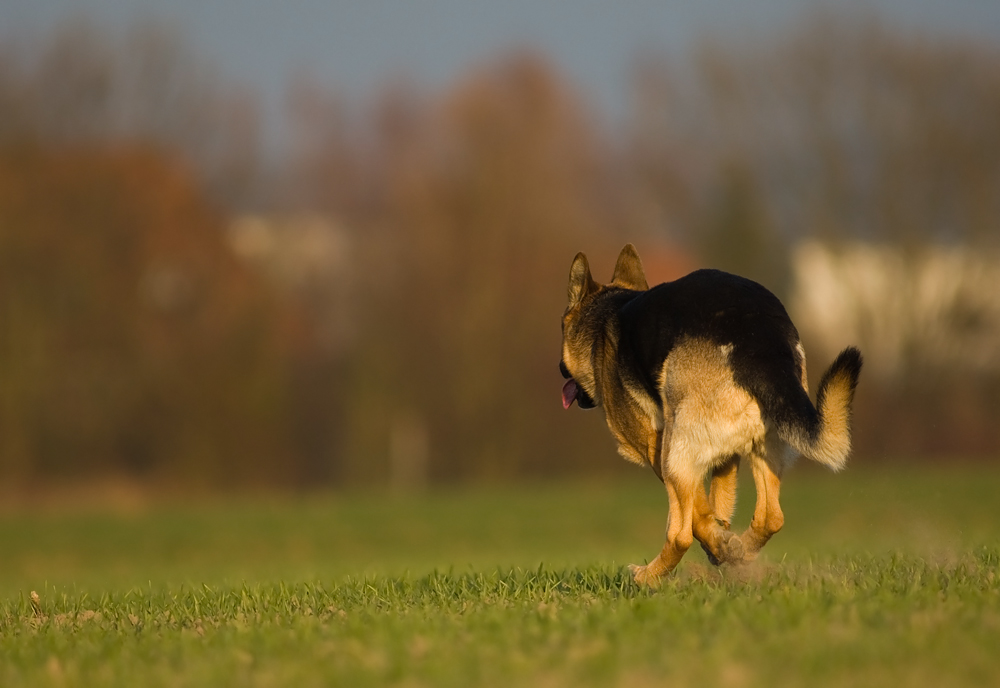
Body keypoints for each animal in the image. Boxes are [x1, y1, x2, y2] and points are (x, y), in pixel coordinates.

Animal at [560, 245, 864, 584]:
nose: (560, 371)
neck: (603, 320)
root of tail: (759, 340)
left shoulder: (658, 448)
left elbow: (697, 513)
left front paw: (718, 543)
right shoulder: (723, 455)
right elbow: (716, 503)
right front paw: (723, 542)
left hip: (676, 454)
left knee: (680, 536)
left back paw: (647, 576)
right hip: (764, 445)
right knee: (771, 517)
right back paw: (737, 551)